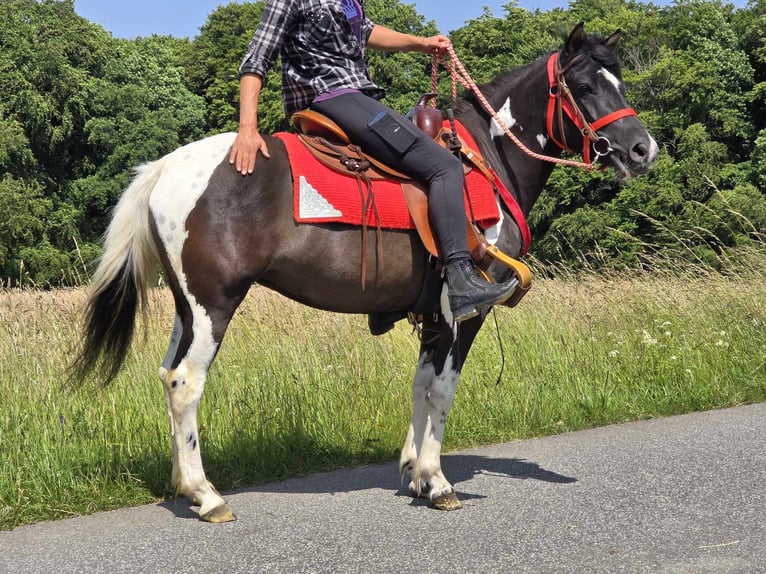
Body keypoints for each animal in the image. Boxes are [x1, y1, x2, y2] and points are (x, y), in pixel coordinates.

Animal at [74, 23, 658, 522]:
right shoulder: (463, 311)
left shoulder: (433, 315)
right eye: (584, 86)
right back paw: (206, 494)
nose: (642, 149)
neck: (485, 160)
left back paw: (183, 485)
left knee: (166, 375)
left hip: (186, 307)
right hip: (214, 304)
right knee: (185, 382)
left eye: (619, 81)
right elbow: (443, 390)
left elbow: (421, 385)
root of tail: (164, 168)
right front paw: (437, 481)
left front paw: (415, 473)